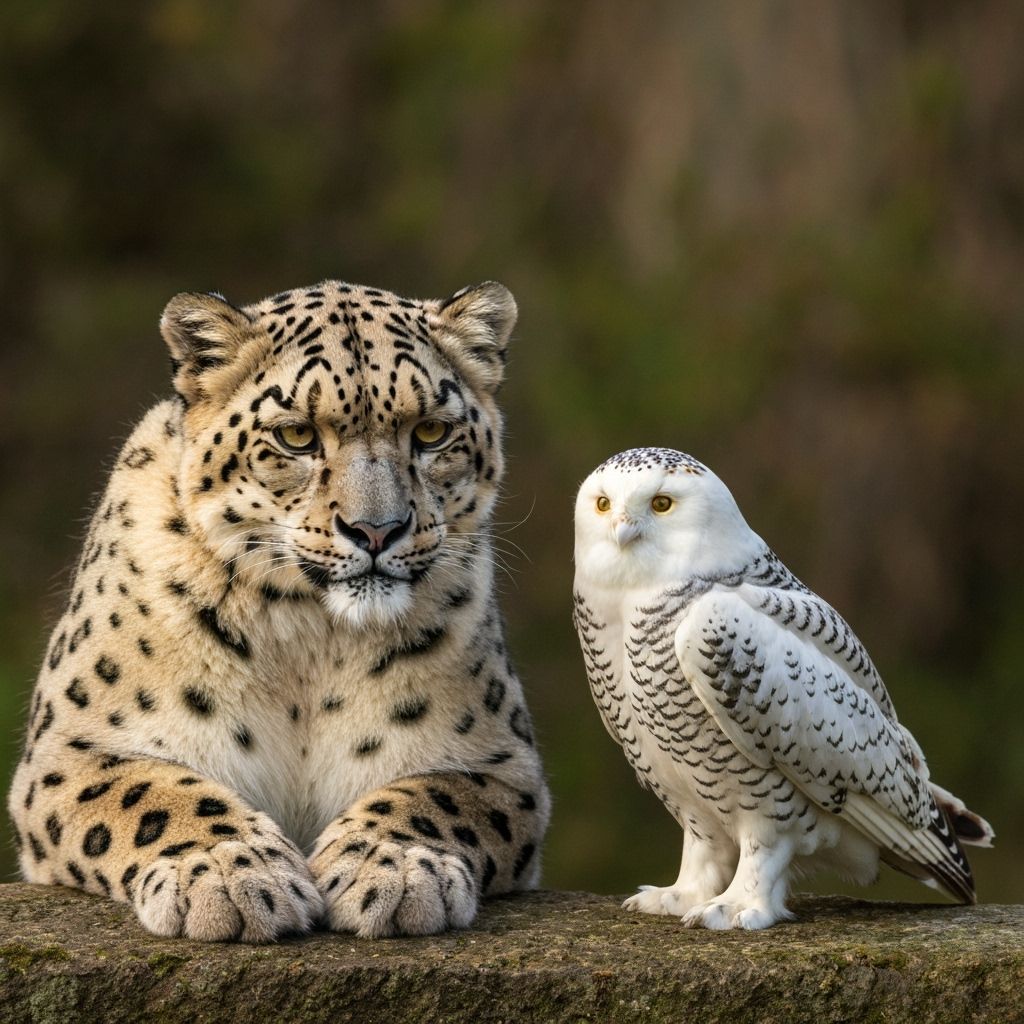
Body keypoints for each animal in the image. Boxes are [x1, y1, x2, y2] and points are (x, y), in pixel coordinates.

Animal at [8, 278, 550, 942]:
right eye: (296, 436)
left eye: (429, 432)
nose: (376, 530)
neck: (309, 642)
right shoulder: (72, 750)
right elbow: (153, 792)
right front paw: (229, 874)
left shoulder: (500, 763)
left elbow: (436, 795)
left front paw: (390, 866)